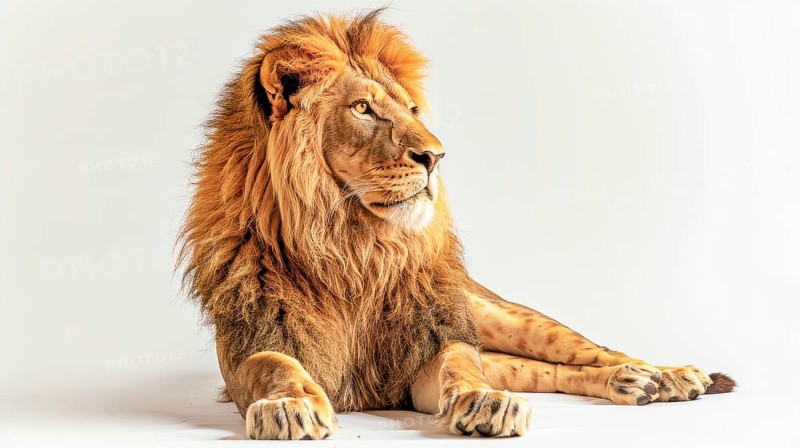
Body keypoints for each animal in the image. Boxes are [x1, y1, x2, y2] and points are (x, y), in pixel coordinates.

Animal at [178, 9, 735, 440]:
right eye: (362, 108)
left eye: (411, 109)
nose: (436, 156)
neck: (350, 249)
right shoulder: (252, 340)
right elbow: (272, 366)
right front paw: (288, 405)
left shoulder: (425, 350)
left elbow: (459, 365)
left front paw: (487, 403)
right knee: (547, 371)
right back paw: (632, 384)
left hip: (497, 315)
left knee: (588, 349)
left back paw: (671, 376)